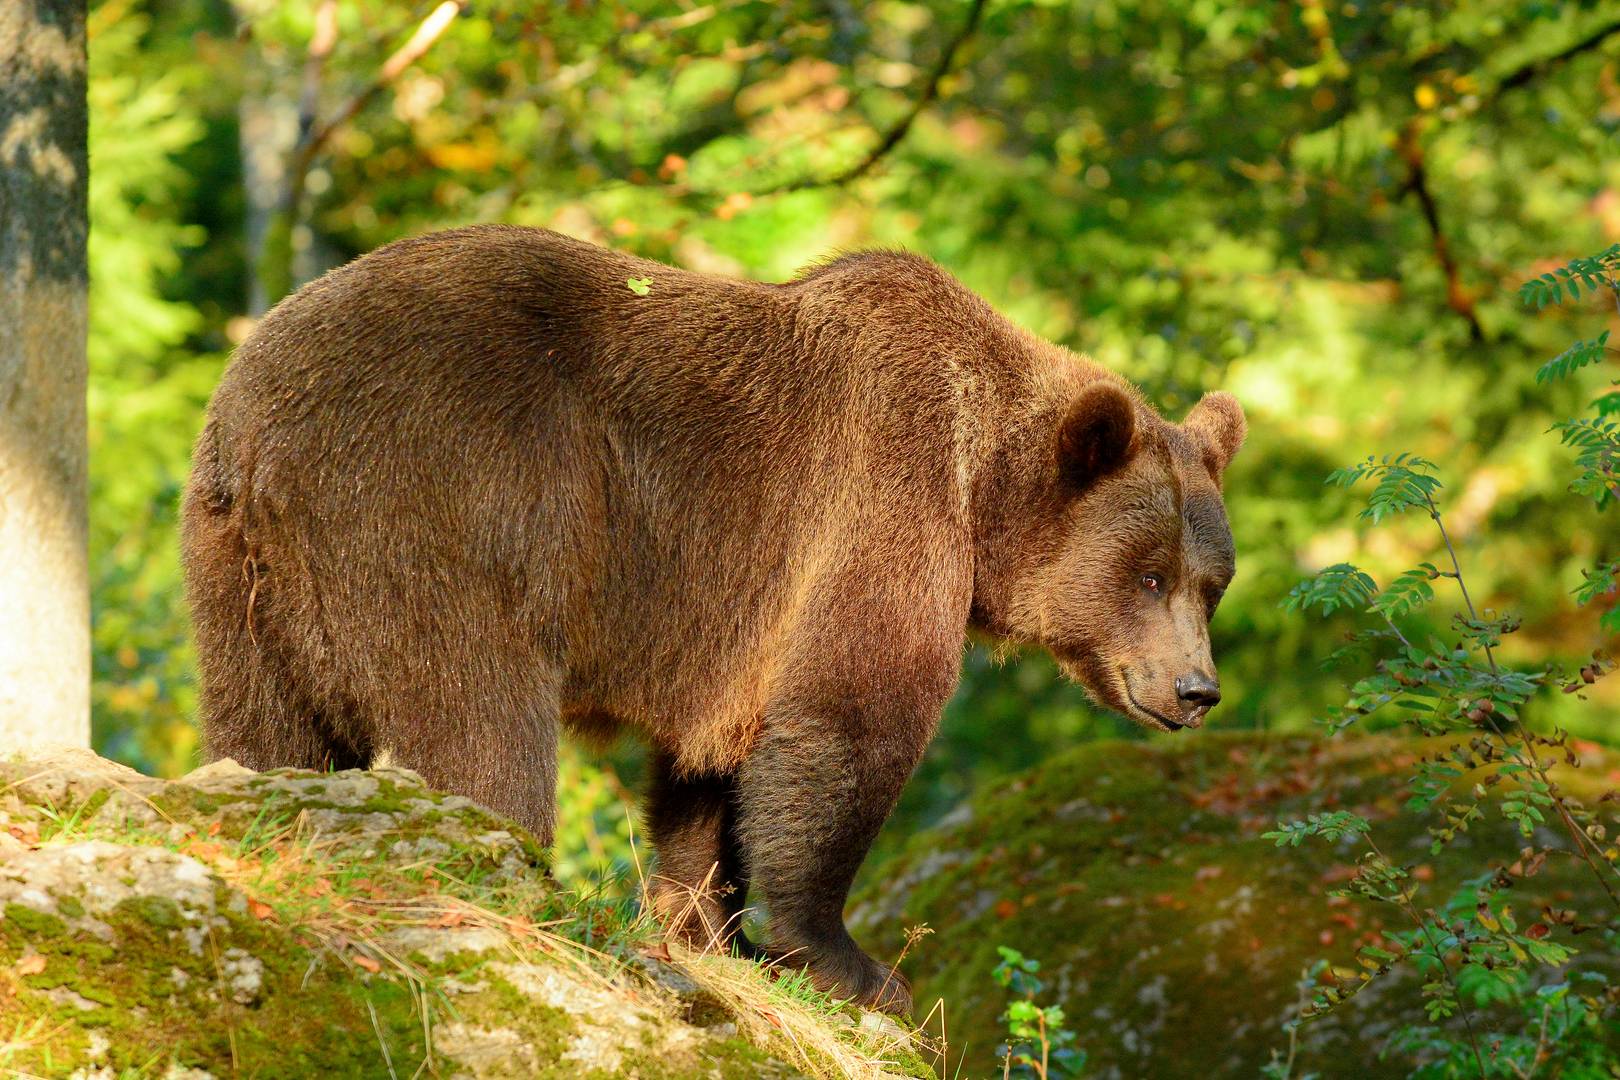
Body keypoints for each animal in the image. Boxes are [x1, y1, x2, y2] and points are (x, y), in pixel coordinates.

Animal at [183, 226, 1244, 1016]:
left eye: (1212, 584)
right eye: (1149, 576)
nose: (1197, 690)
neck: (983, 489)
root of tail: (258, 422)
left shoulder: (739, 629)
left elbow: (708, 778)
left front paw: (707, 929)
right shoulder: (883, 498)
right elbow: (849, 720)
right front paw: (854, 963)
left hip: (237, 577)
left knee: (265, 726)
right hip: (440, 504)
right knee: (476, 718)